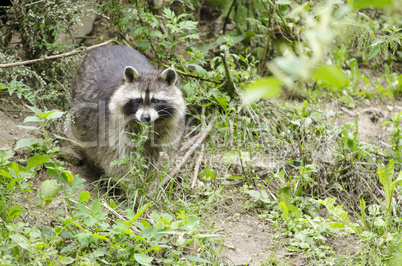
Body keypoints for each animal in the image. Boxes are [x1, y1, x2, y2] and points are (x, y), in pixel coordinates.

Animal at [70, 44, 186, 178]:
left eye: (156, 100)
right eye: (138, 100)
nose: (146, 117)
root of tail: (107, 46)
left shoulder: (170, 128)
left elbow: (163, 154)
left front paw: (151, 180)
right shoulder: (115, 127)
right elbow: (118, 157)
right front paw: (130, 179)